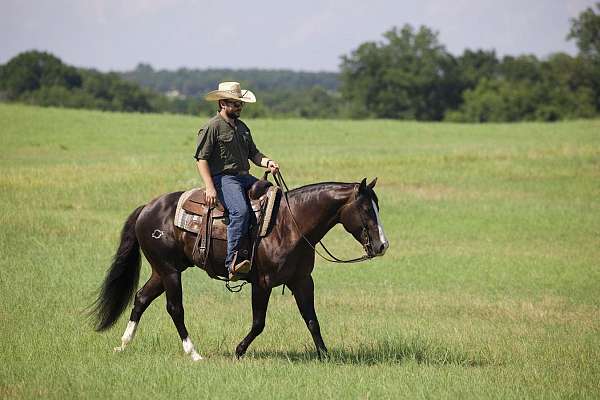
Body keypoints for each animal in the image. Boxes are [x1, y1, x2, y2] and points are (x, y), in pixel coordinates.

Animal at [90, 177, 390, 360]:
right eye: (366, 209)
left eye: (378, 207)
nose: (382, 245)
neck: (291, 225)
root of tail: (147, 208)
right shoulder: (263, 282)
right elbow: (259, 322)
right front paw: (238, 350)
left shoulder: (303, 281)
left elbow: (312, 320)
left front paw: (325, 355)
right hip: (170, 271)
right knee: (174, 308)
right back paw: (194, 353)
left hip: (162, 270)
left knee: (141, 298)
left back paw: (123, 344)